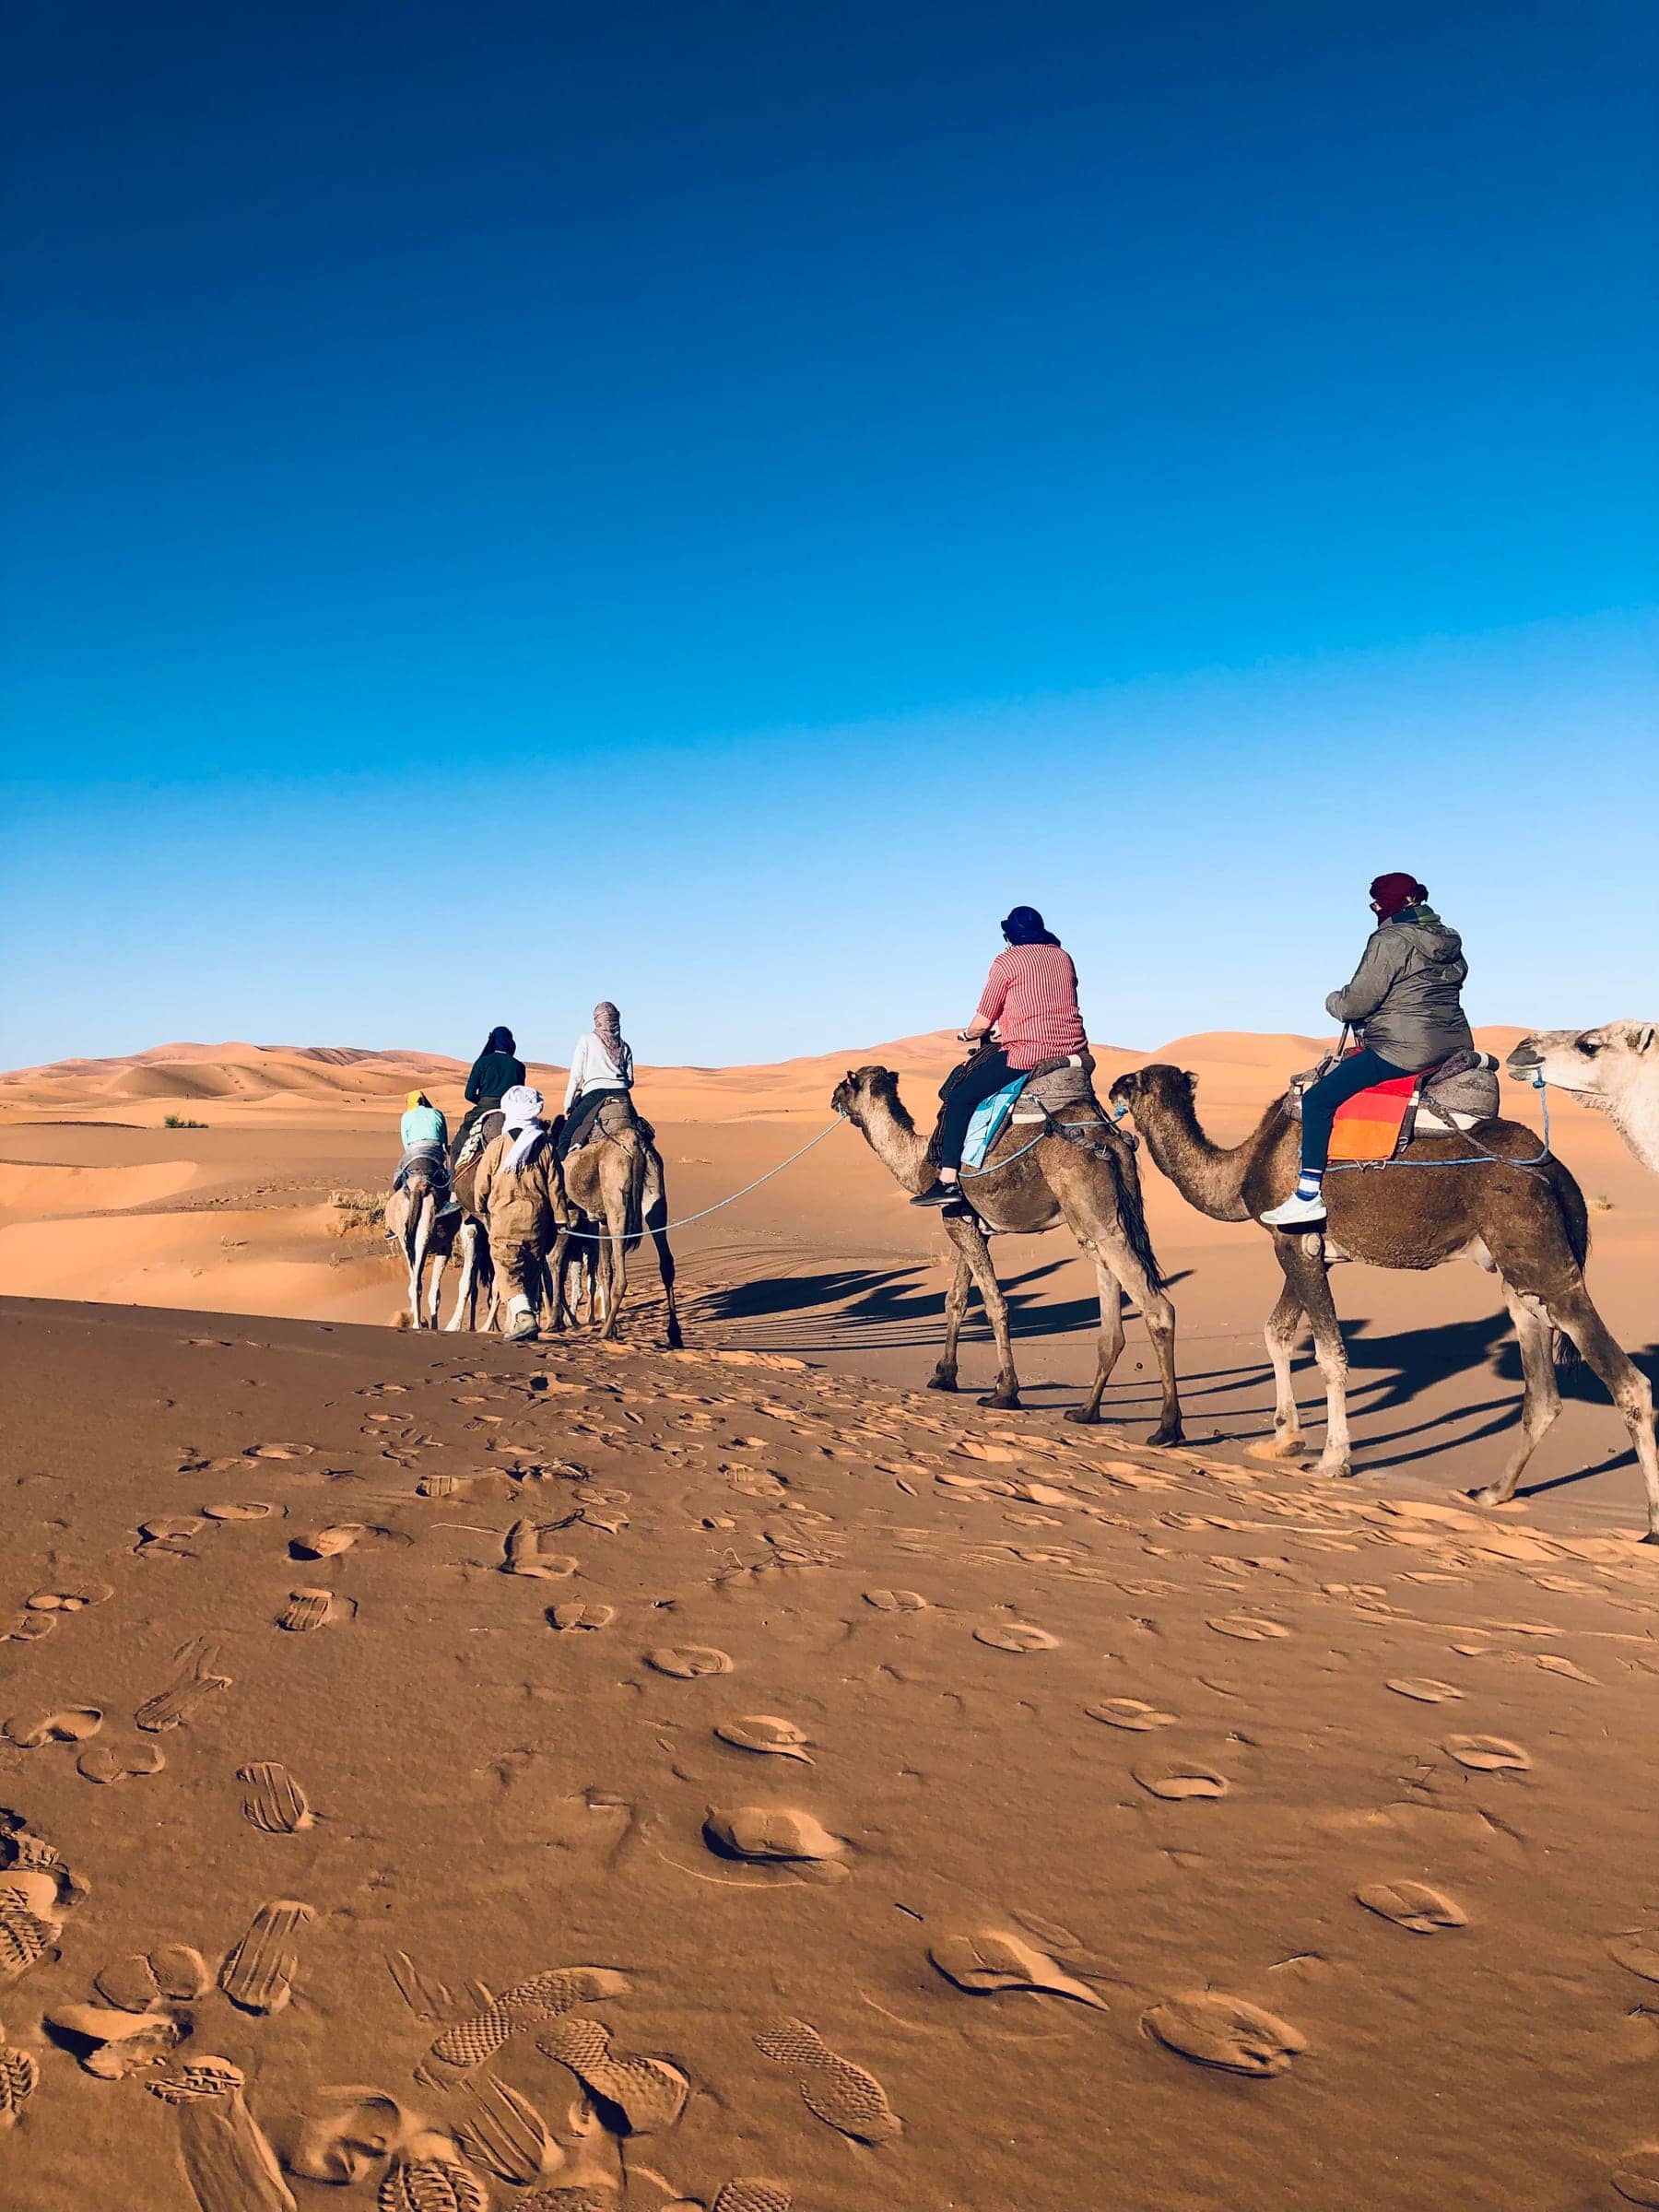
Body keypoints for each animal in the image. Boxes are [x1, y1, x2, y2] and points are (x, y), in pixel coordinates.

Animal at [829, 1065, 1183, 1442]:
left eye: (845, 1084)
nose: (832, 1098)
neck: (918, 1160)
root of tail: (1114, 1141)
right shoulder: (970, 1225)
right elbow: (955, 1300)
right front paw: (944, 1375)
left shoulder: (956, 1223)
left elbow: (995, 1305)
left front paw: (1005, 1392)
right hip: (1099, 1218)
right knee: (1111, 1320)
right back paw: (1085, 1412)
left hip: (1090, 1207)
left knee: (1157, 1308)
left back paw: (1167, 1428)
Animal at [1107, 1063, 1659, 1536]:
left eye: (1134, 1082)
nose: (1113, 1086)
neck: (1244, 1167)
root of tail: (1559, 1173)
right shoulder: (1307, 1250)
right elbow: (1276, 1332)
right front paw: (1283, 1438)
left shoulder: (1296, 1244)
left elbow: (1329, 1353)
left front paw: (1331, 1460)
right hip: (1518, 1276)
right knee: (1542, 1391)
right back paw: (1492, 1492)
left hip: (1539, 1253)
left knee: (1627, 1381)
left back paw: (1650, 1527)